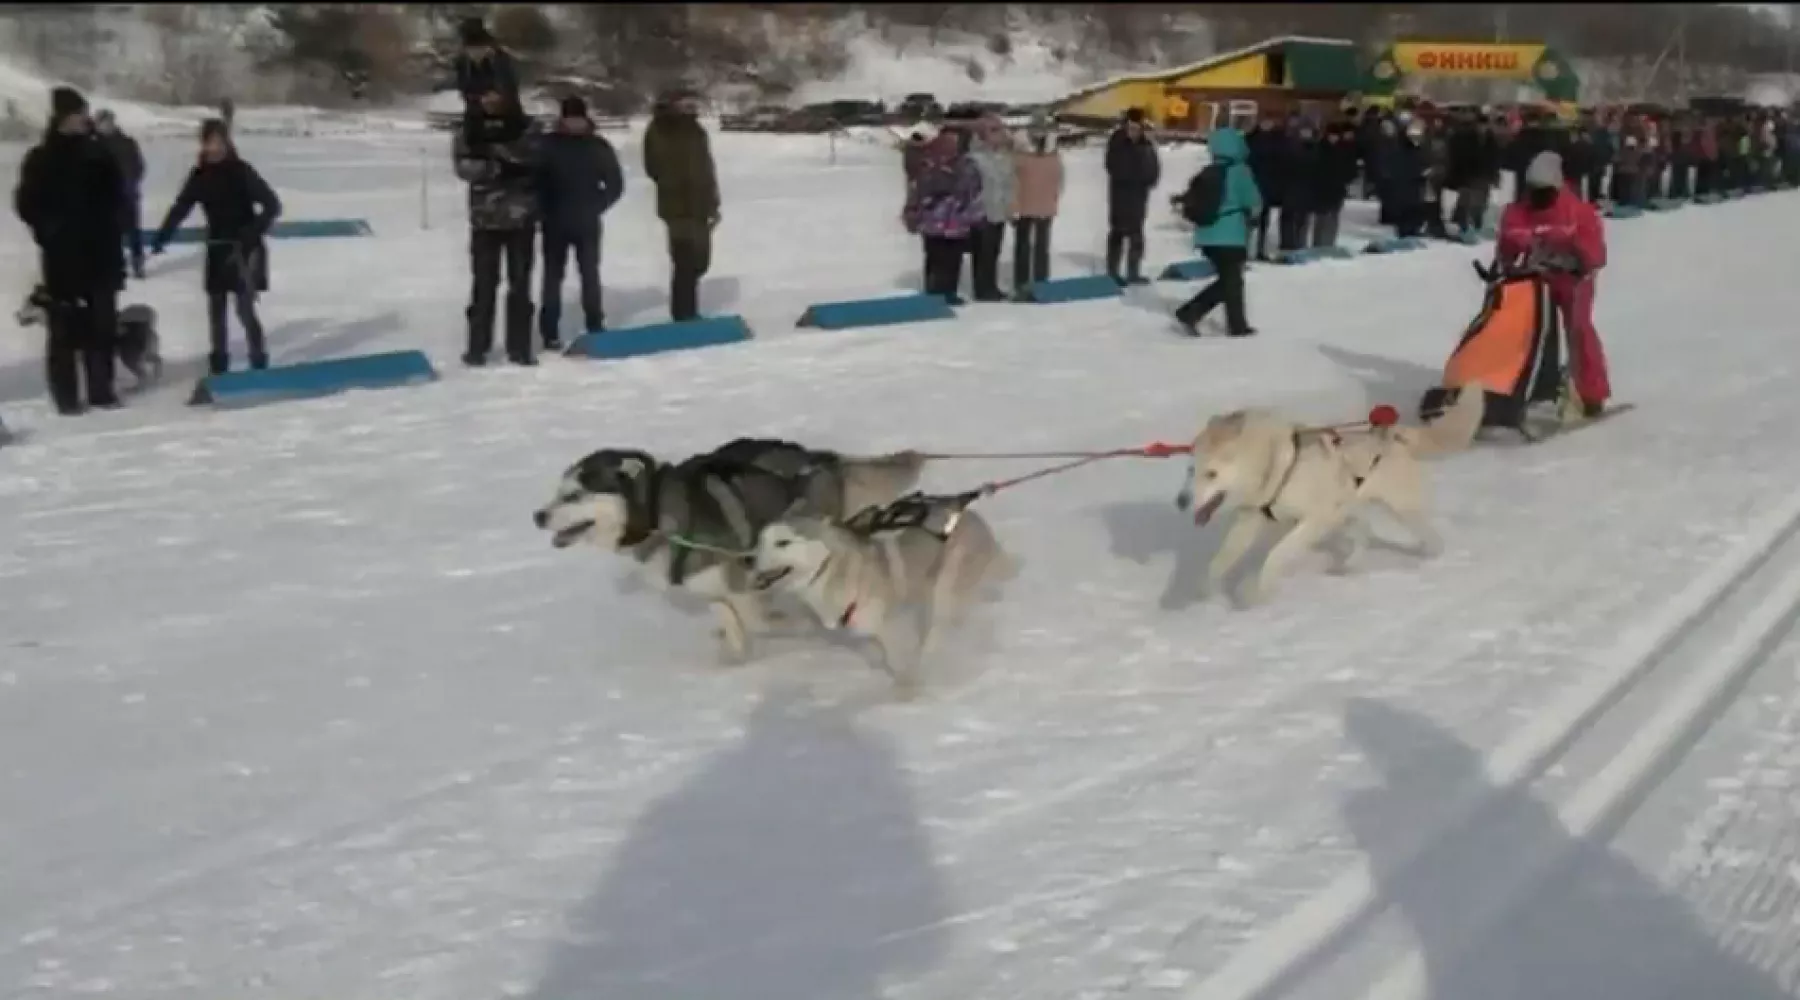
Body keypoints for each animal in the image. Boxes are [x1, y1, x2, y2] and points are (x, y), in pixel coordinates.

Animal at [15, 287, 162, 388]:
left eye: (28, 306)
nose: (17, 316)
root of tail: (144, 323)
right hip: (143, 354)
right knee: (157, 361)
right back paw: (156, 378)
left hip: (128, 357)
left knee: (143, 373)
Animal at [529, 438, 928, 661]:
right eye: (558, 491)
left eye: (574, 494)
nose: (537, 515)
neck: (657, 513)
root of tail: (820, 457)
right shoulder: (712, 592)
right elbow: (734, 624)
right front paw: (736, 658)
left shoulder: (741, 584)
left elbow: (759, 620)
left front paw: (795, 625)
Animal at [752, 496, 1022, 690]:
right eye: (760, 541)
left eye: (783, 542)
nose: (749, 561)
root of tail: (972, 517)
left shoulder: (896, 623)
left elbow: (900, 658)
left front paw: (907, 685)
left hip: (944, 589)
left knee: (939, 628)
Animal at [1173, 384, 1483, 604]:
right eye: (1190, 470)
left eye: (1211, 474)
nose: (1181, 501)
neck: (1276, 465)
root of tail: (1395, 434)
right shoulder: (1249, 521)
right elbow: (1221, 559)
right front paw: (1204, 590)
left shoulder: (1313, 520)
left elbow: (1276, 554)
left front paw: (1254, 592)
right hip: (1344, 513)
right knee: (1365, 532)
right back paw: (1349, 565)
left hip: (1400, 509)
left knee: (1428, 535)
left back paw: (1430, 558)